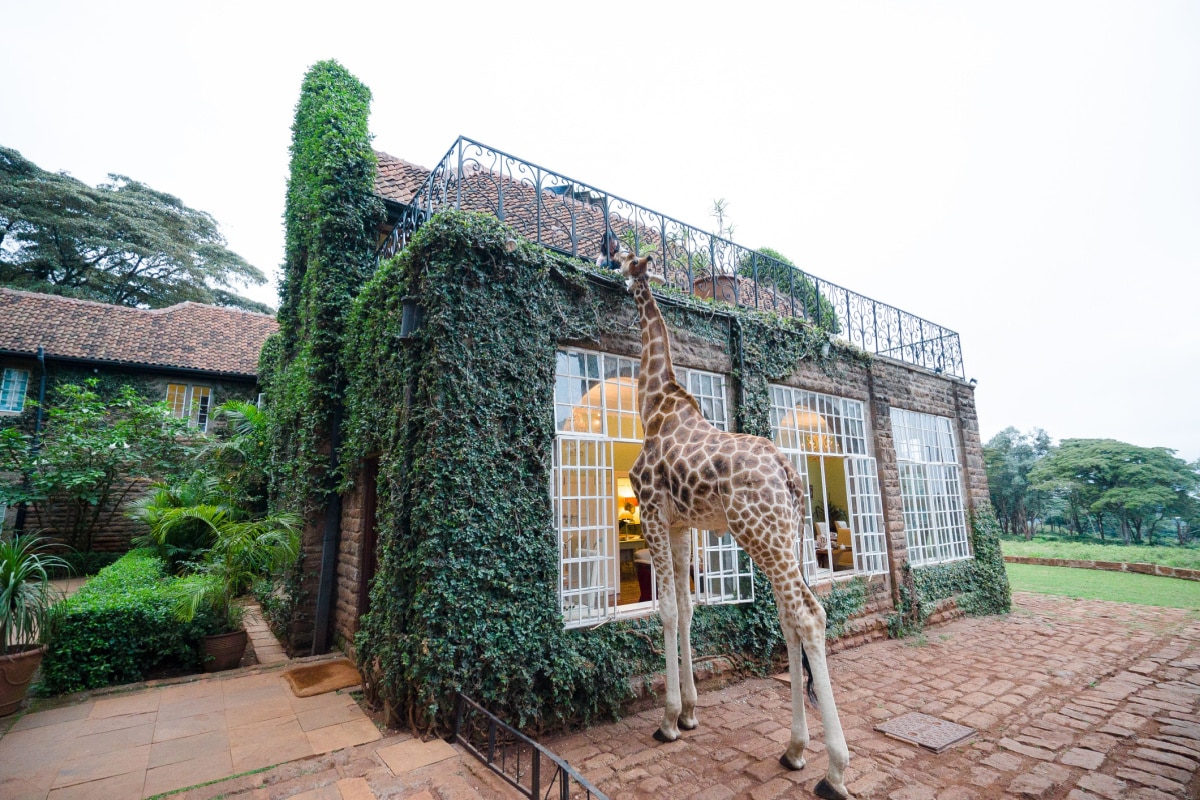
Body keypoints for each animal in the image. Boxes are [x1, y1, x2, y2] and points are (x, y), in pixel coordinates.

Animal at [619, 251, 854, 800]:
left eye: (618, 258)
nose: (609, 267)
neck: (654, 405)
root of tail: (791, 476)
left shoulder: (652, 512)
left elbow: (666, 610)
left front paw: (667, 720)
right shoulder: (681, 525)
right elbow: (687, 609)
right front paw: (690, 713)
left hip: (760, 534)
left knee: (808, 615)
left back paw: (834, 771)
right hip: (781, 538)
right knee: (792, 618)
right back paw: (793, 750)